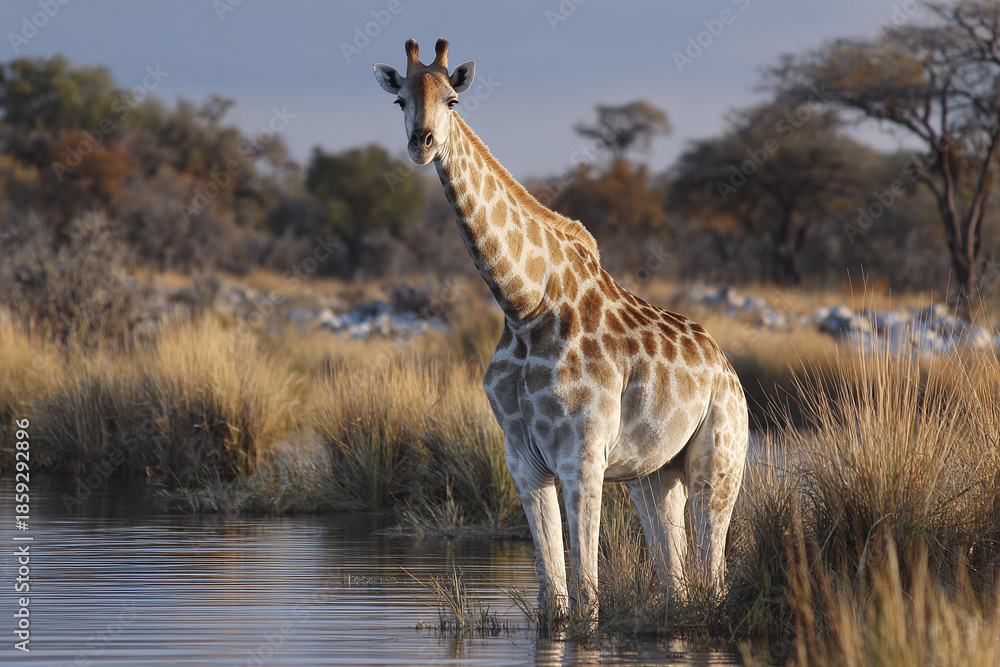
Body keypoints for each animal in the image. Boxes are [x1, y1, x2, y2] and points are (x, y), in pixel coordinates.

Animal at [374, 39, 748, 618]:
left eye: (453, 99)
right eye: (400, 100)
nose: (423, 143)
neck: (524, 307)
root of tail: (728, 371)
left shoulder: (583, 458)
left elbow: (588, 600)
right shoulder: (523, 462)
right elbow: (555, 599)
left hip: (719, 462)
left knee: (714, 574)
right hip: (653, 475)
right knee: (678, 580)